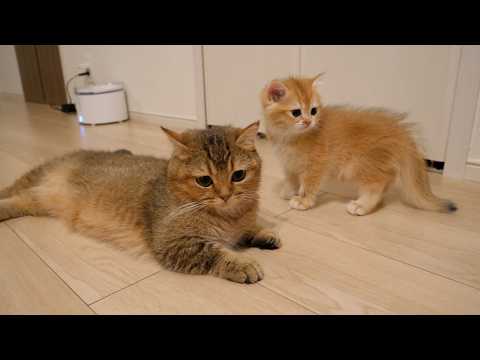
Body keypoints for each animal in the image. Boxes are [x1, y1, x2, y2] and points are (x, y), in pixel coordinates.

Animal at [0, 124, 282, 284]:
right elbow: (214, 253)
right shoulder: (175, 245)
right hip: (34, 178)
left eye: (238, 175)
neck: (229, 216)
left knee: (18, 201)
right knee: (9, 191)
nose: (225, 195)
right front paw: (242, 264)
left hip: (35, 201)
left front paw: (264, 234)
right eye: (204, 180)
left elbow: (248, 230)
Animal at [260, 74, 456, 215]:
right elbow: (292, 178)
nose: (309, 121)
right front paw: (290, 191)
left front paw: (303, 200)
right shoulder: (289, 163)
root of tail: (398, 129)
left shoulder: (316, 164)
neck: (288, 137)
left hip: (360, 164)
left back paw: (362, 205)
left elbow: (309, 184)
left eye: (313, 111)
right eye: (296, 112)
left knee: (379, 182)